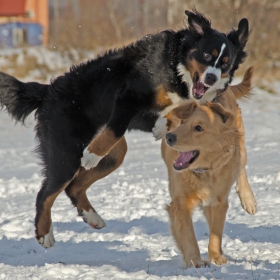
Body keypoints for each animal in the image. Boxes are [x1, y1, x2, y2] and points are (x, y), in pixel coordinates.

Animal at [0, 9, 248, 248]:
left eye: (225, 63)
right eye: (206, 56)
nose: (211, 77)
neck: (176, 69)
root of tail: (47, 92)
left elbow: (174, 113)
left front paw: (161, 125)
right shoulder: (129, 95)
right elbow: (116, 127)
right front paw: (92, 153)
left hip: (114, 156)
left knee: (74, 188)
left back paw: (92, 217)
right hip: (66, 154)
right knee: (45, 194)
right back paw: (45, 234)